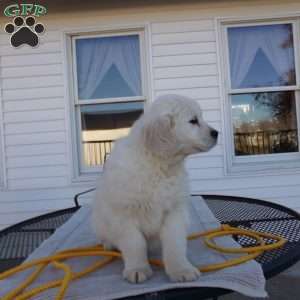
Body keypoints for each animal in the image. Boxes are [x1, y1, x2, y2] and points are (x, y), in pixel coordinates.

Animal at [91, 94, 218, 284]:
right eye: (193, 121)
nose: (216, 133)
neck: (159, 166)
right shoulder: (125, 214)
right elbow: (135, 243)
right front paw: (138, 269)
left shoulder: (174, 212)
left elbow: (175, 244)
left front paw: (181, 269)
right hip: (99, 220)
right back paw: (108, 243)